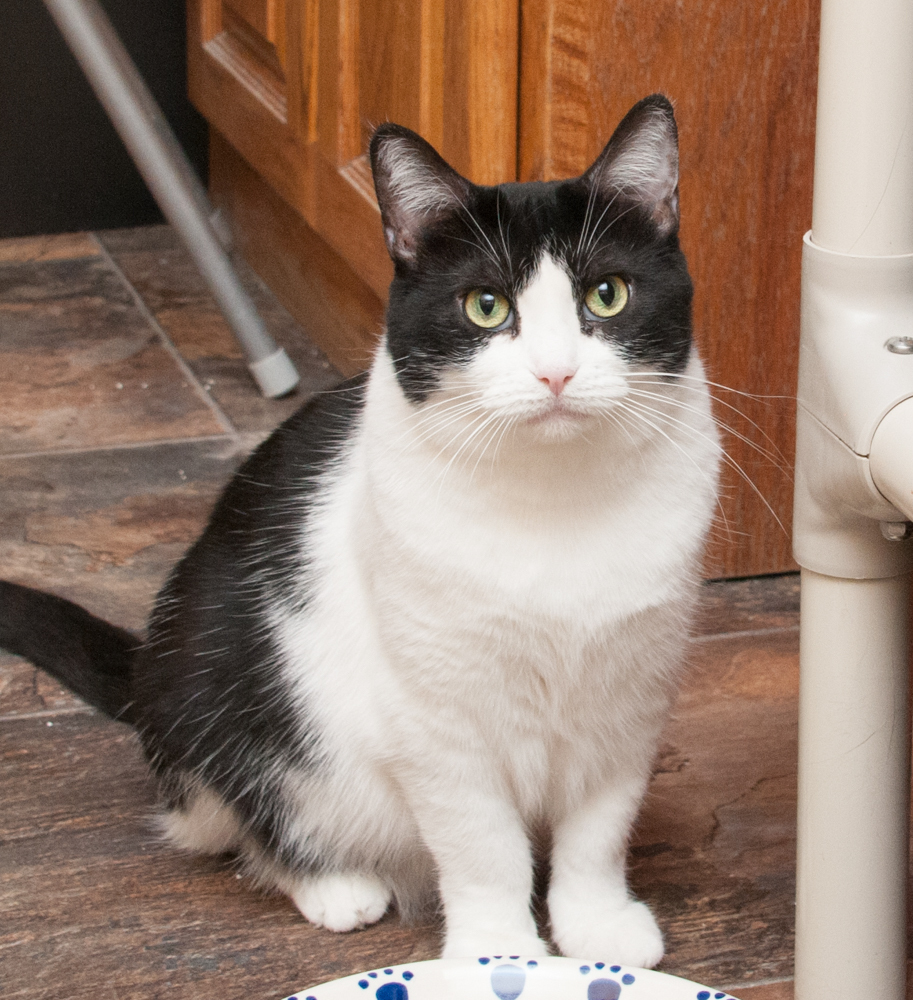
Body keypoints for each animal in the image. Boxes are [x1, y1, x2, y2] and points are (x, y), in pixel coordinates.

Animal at [0, 94, 720, 968]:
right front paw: (500, 957)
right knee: (235, 816)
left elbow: (599, 829)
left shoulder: (629, 700)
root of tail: (144, 673)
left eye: (607, 295)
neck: (555, 503)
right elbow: (484, 848)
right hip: (211, 684)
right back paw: (334, 884)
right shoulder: (435, 721)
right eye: (486, 306)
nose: (555, 372)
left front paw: (596, 927)